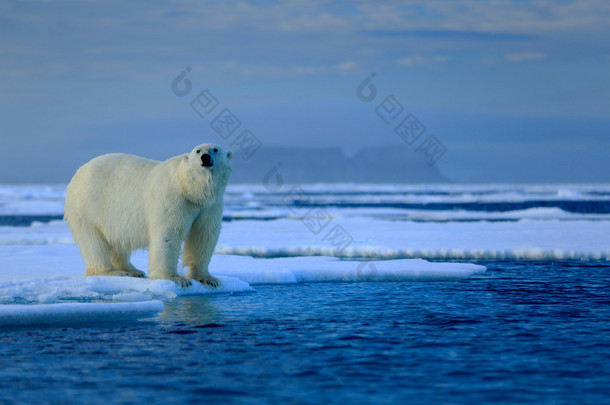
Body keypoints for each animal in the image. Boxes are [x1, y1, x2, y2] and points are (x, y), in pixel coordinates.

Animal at [63, 144, 230, 286]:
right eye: (197, 151)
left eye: (215, 149)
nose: (205, 157)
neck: (189, 188)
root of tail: (78, 173)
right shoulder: (172, 197)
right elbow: (168, 233)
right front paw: (175, 279)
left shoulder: (210, 205)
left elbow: (204, 235)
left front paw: (207, 279)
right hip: (87, 207)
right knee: (93, 242)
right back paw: (112, 272)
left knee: (118, 242)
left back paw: (133, 270)